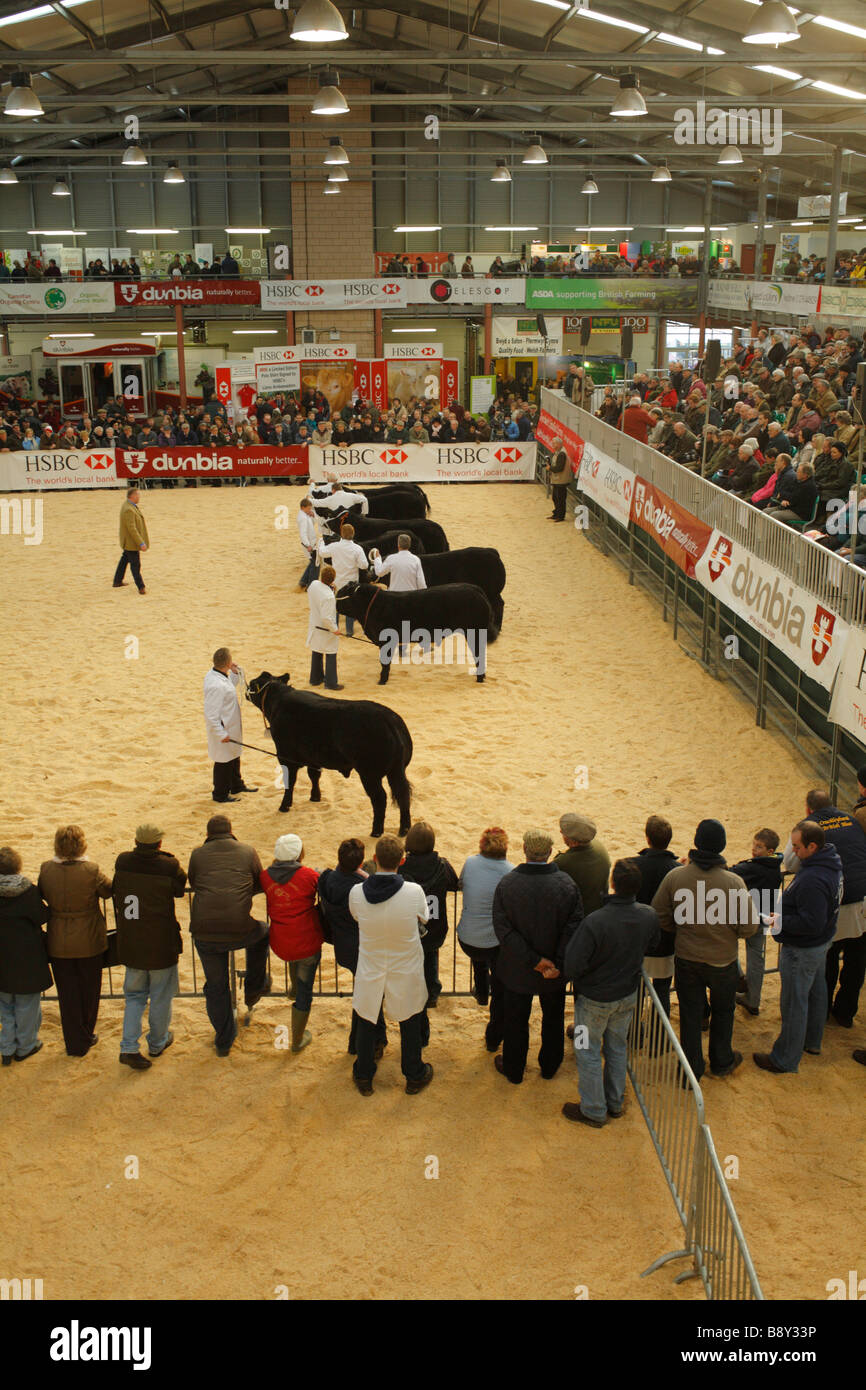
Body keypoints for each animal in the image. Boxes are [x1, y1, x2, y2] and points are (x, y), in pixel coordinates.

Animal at [246, 672, 414, 834]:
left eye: (253, 684)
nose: (246, 690)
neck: (279, 701)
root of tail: (390, 720)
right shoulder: (313, 758)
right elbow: (314, 775)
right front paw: (315, 797)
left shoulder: (286, 757)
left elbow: (290, 782)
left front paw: (284, 806)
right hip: (396, 771)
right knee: (403, 794)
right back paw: (404, 829)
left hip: (369, 774)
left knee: (380, 798)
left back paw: (376, 831)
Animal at [335, 578, 494, 681]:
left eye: (342, 594)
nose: (335, 603)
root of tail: (475, 589)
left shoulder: (385, 641)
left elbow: (384, 663)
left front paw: (382, 680)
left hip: (475, 633)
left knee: (479, 655)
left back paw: (480, 678)